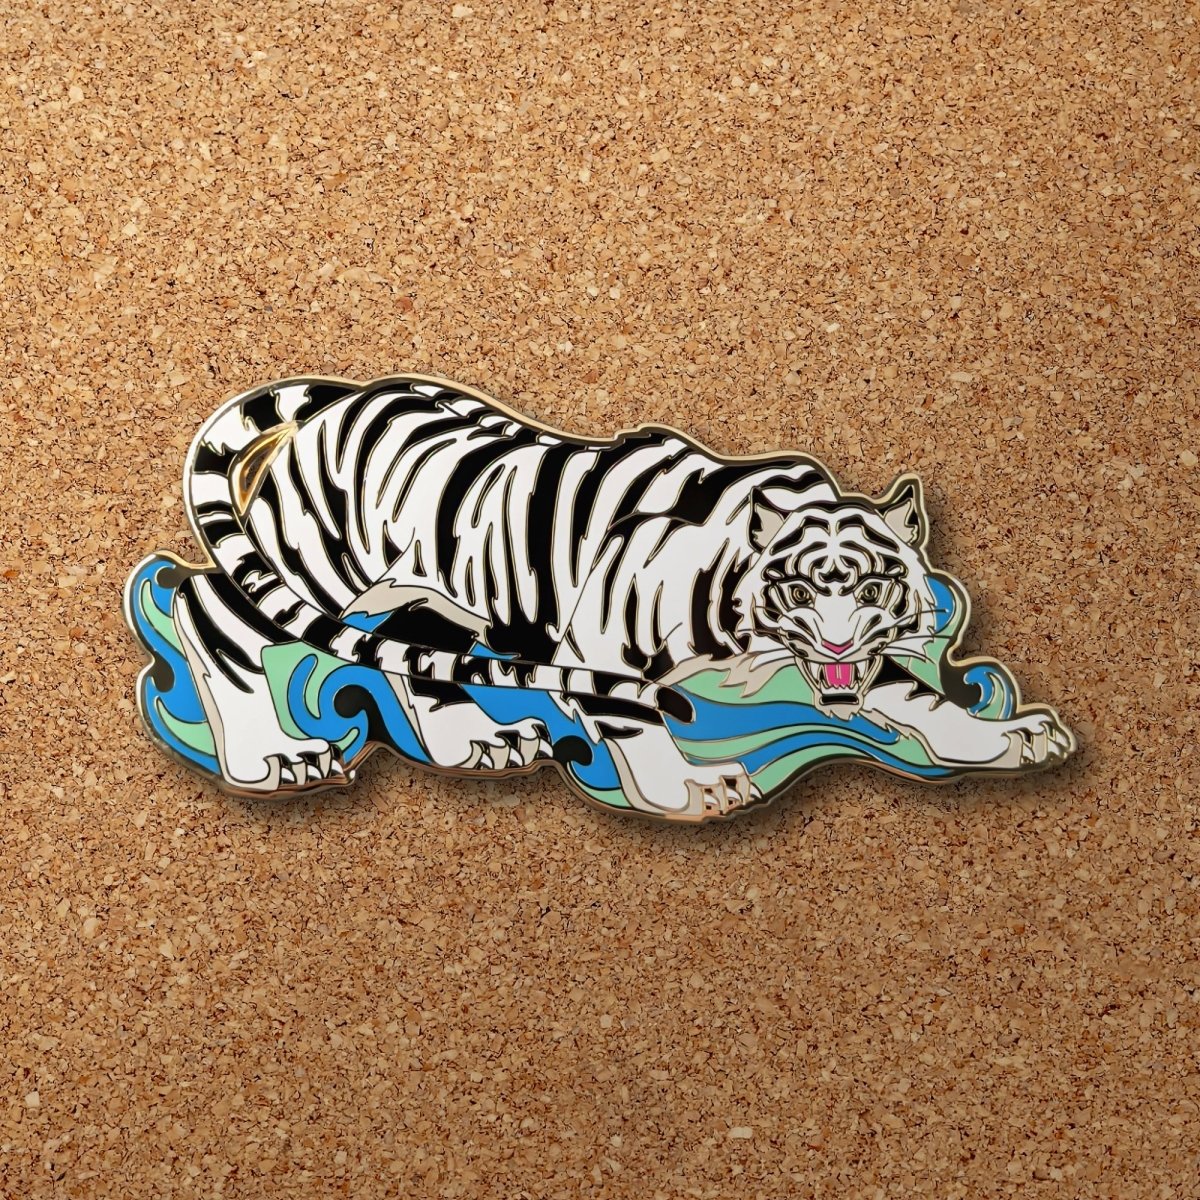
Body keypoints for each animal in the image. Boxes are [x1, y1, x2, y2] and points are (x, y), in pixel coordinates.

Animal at [126, 374, 1074, 822]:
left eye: (876, 584)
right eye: (799, 586)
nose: (839, 648)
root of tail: (340, 395)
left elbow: (921, 699)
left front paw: (1003, 739)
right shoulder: (601, 645)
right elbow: (640, 724)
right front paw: (689, 790)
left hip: (435, 592)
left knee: (416, 652)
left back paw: (475, 741)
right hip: (313, 566)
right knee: (210, 607)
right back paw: (273, 759)